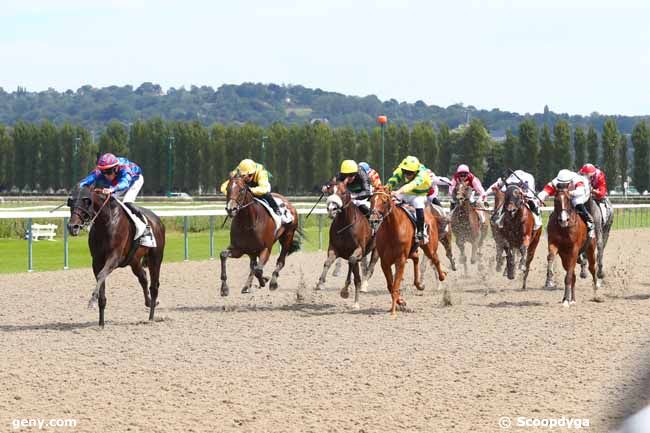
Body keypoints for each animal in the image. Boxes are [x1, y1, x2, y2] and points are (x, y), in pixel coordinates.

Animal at [66, 186, 165, 328]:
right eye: (71, 203)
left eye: (86, 202)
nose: (72, 227)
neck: (106, 222)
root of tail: (158, 220)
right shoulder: (97, 260)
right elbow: (100, 280)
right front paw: (101, 323)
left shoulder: (114, 257)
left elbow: (101, 275)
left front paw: (92, 301)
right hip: (134, 260)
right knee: (143, 277)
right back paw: (149, 302)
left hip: (155, 258)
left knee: (154, 286)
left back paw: (151, 317)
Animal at [368, 187, 442, 316]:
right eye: (372, 200)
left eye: (384, 201)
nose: (374, 220)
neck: (392, 229)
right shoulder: (385, 263)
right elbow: (391, 286)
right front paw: (400, 302)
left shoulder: (400, 260)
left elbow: (395, 285)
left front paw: (394, 310)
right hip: (412, 252)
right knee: (416, 258)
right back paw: (419, 284)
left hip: (429, 247)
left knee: (435, 259)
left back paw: (442, 276)